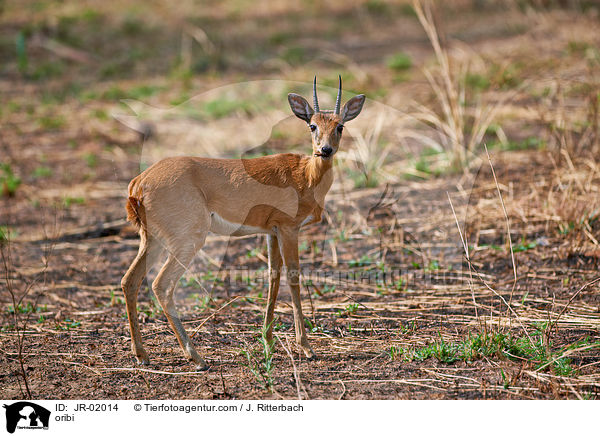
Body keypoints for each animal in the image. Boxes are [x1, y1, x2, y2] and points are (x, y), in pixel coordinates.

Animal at [122, 76, 366, 368]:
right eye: (312, 125)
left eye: (340, 125)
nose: (325, 150)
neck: (305, 177)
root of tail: (139, 182)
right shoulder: (289, 228)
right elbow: (293, 277)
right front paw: (306, 347)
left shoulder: (272, 231)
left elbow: (273, 276)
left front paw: (268, 341)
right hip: (187, 240)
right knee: (161, 285)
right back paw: (196, 357)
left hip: (152, 240)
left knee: (130, 281)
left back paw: (142, 354)